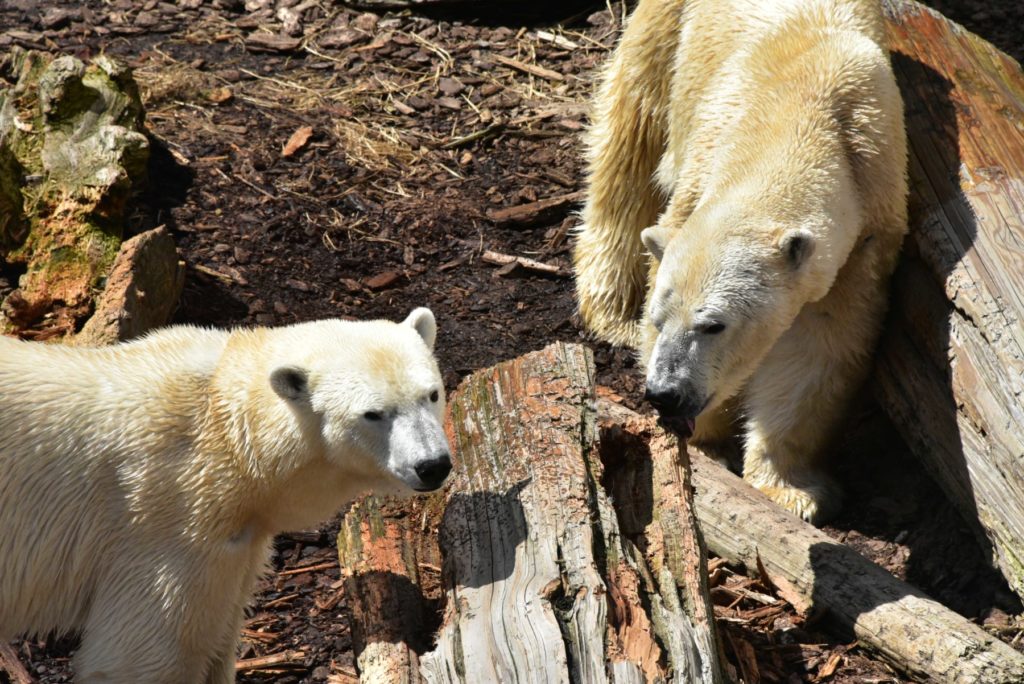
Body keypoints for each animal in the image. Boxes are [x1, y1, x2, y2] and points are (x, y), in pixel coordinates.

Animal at [0, 308, 451, 683]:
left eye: (431, 393)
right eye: (372, 413)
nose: (433, 465)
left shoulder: (240, 536)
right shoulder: (167, 521)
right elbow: (144, 654)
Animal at [573, 0, 907, 522]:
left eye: (714, 324)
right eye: (658, 319)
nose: (664, 393)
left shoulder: (866, 235)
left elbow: (821, 344)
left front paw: (793, 491)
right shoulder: (703, 164)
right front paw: (710, 441)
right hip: (668, 27)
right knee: (632, 128)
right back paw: (613, 305)